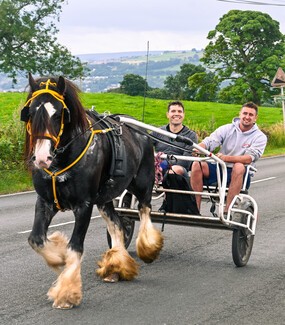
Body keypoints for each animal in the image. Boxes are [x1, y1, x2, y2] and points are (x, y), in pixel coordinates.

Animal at [20, 73, 162, 308]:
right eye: (30, 112)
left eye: (58, 113)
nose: (41, 158)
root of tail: (142, 132)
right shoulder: (45, 201)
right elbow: (36, 239)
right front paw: (58, 257)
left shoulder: (84, 205)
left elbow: (75, 246)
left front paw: (67, 293)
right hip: (104, 198)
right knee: (117, 226)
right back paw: (116, 267)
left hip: (143, 185)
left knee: (145, 210)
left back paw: (148, 247)